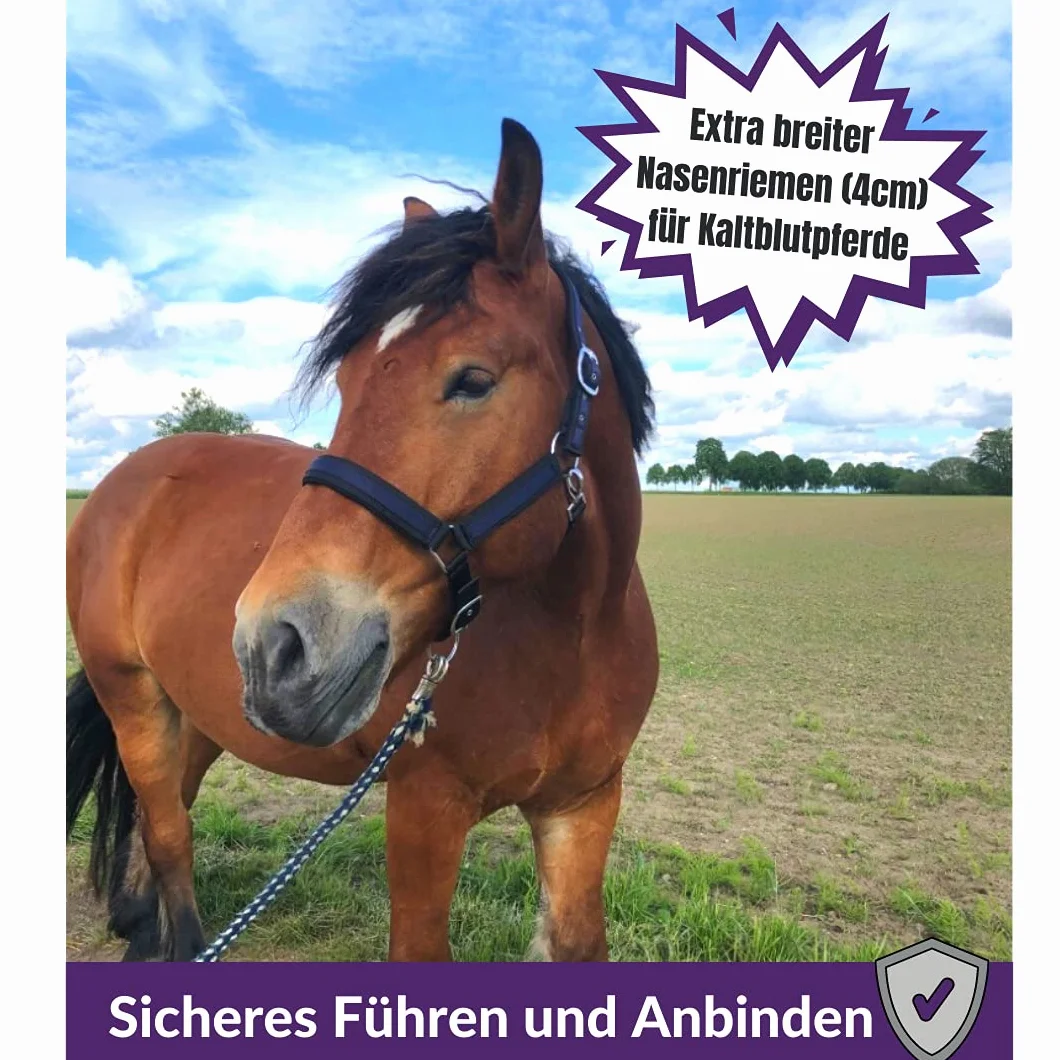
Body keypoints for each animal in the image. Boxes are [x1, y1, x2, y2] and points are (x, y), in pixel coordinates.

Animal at [66, 118, 659, 962]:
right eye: (346, 383)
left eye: (472, 380)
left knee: (166, 809)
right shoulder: (424, 809)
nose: (277, 645)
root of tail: (124, 481)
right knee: (169, 831)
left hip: (199, 710)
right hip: (133, 697)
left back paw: (139, 923)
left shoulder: (584, 804)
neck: (574, 638)